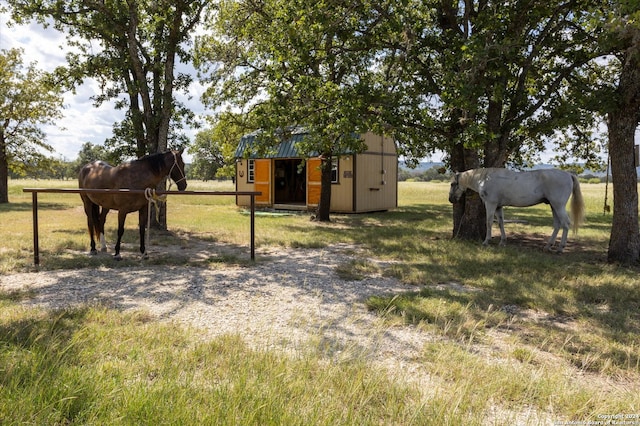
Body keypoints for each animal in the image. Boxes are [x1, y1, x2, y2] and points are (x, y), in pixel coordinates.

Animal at [450, 167, 584, 253]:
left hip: (558, 205)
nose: (451, 199)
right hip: (553, 206)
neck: (484, 179)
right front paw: (503, 242)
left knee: (565, 224)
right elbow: (501, 223)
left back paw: (560, 248)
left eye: (452, 184)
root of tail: (568, 174)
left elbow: (489, 222)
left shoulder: (491, 204)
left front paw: (486, 241)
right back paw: (548, 246)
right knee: (557, 224)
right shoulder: (498, 206)